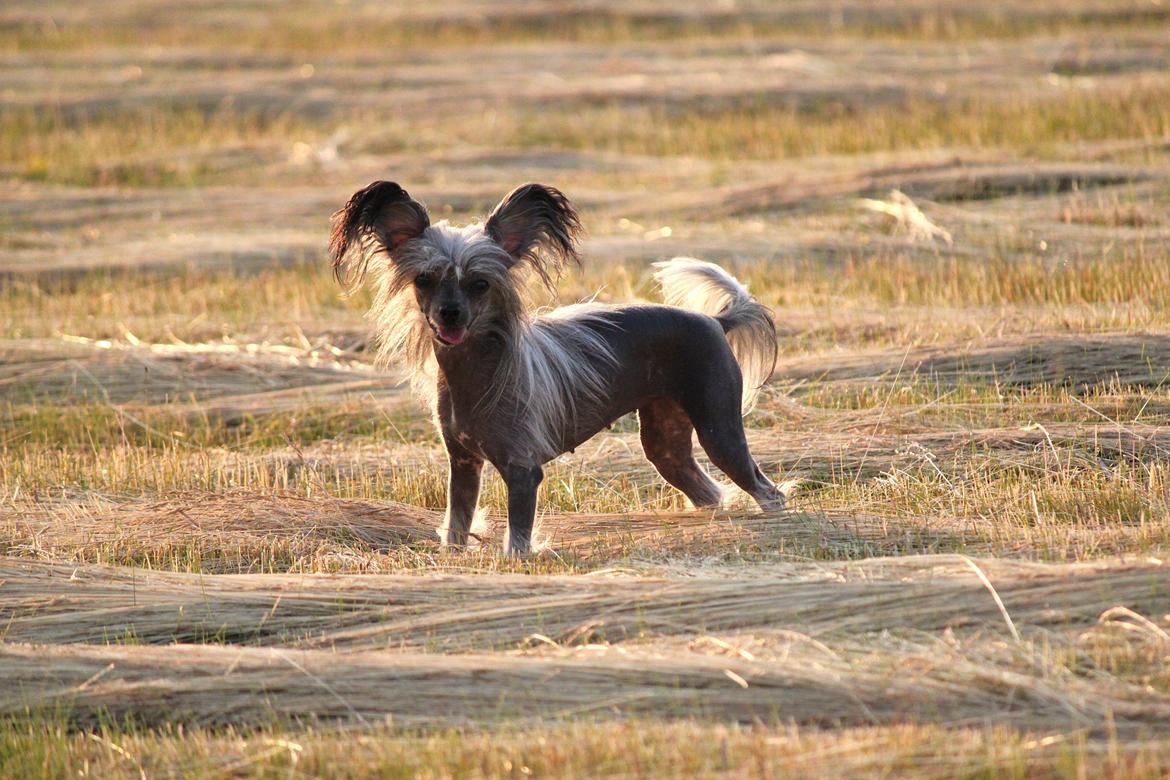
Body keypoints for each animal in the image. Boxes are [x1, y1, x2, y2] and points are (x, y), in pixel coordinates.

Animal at [329, 181, 786, 554]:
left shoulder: (523, 471)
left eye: (480, 284)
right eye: (424, 279)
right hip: (665, 441)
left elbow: (518, 539)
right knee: (707, 490)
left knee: (768, 492)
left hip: (719, 428)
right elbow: (456, 527)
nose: (450, 315)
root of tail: (715, 321)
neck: (476, 375)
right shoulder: (463, 465)